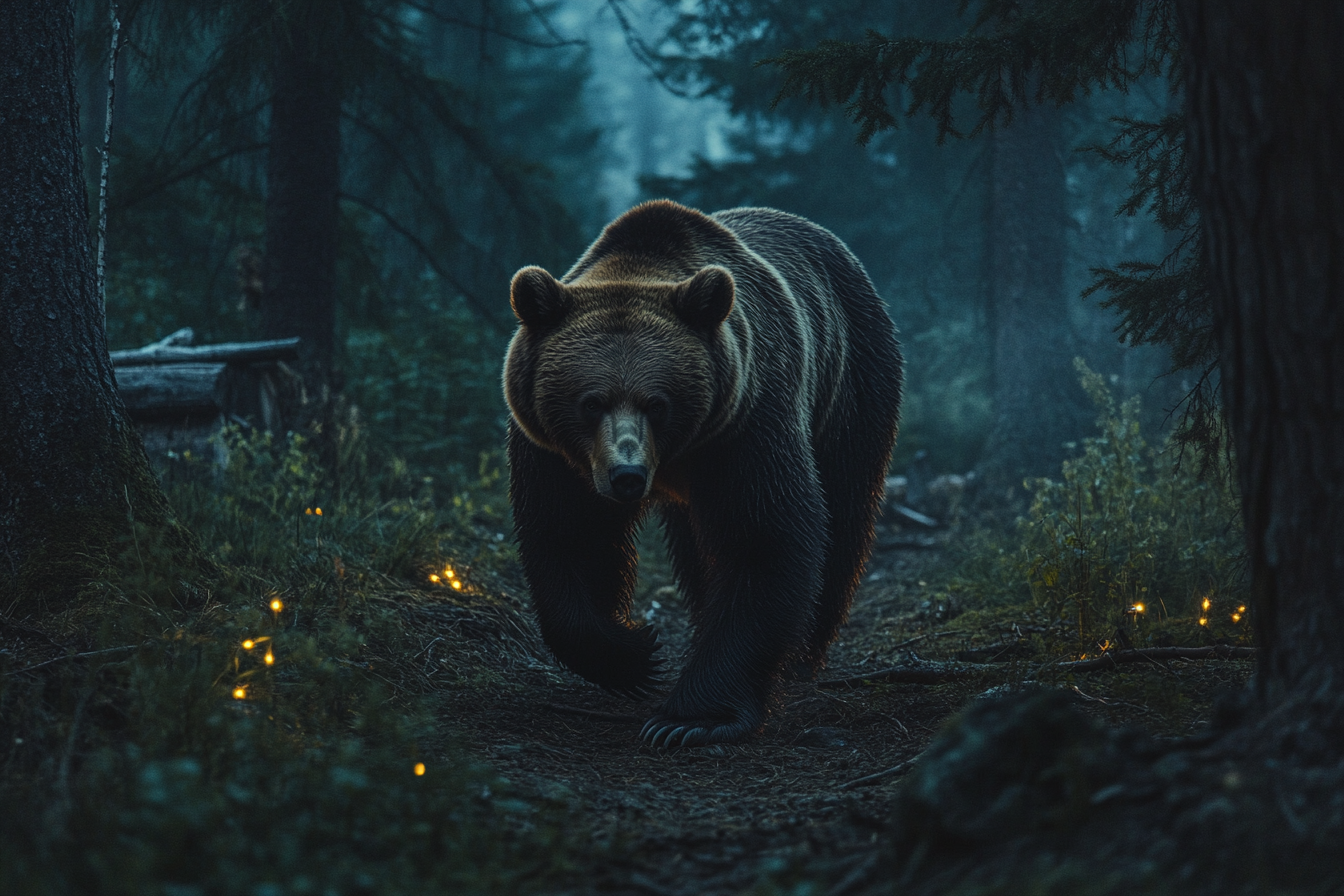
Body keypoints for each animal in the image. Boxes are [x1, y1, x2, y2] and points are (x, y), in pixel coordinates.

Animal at [505, 200, 903, 746]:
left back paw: (805, 655)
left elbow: (764, 538)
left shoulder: (746, 424)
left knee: (844, 513)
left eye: (657, 403)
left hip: (852, 383)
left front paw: (687, 719)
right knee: (696, 548)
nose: (627, 476)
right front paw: (634, 654)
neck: (678, 456)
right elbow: (569, 534)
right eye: (591, 402)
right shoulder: (555, 451)